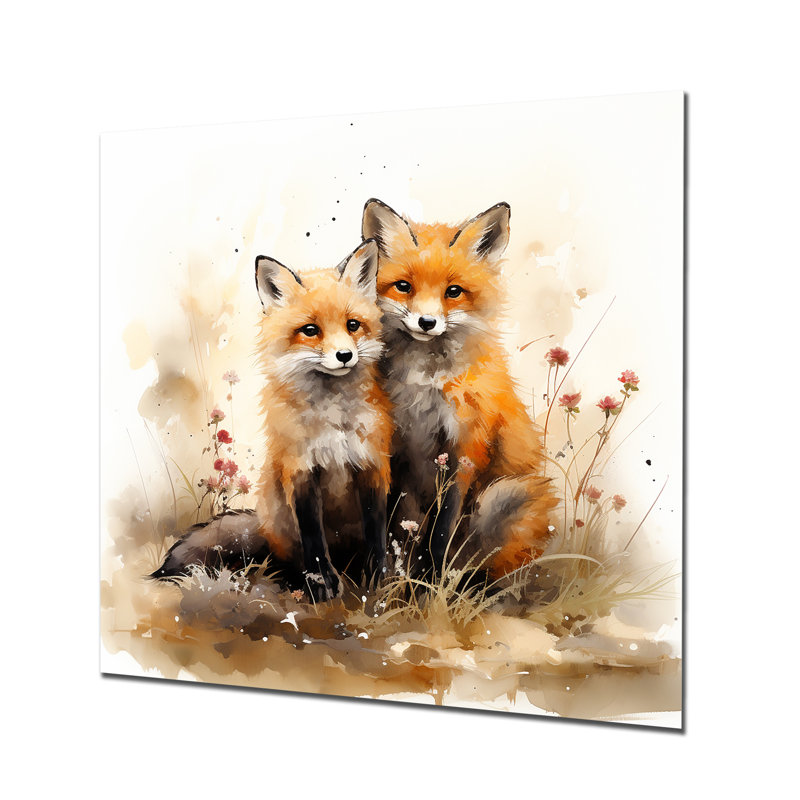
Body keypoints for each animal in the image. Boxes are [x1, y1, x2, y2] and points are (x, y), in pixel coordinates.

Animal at [152, 239, 392, 601]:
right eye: (310, 330)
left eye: (353, 324)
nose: (345, 356)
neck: (334, 423)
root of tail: (261, 523)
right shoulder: (300, 470)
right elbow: (313, 538)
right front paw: (322, 584)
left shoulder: (372, 466)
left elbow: (376, 533)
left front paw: (381, 581)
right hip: (280, 523)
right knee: (283, 558)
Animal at [362, 199, 558, 580]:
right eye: (403, 286)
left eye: (453, 291)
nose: (426, 322)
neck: (426, 383)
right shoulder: (396, 447)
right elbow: (392, 525)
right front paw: (389, 579)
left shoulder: (465, 447)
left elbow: (441, 530)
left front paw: (430, 581)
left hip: (503, 496)